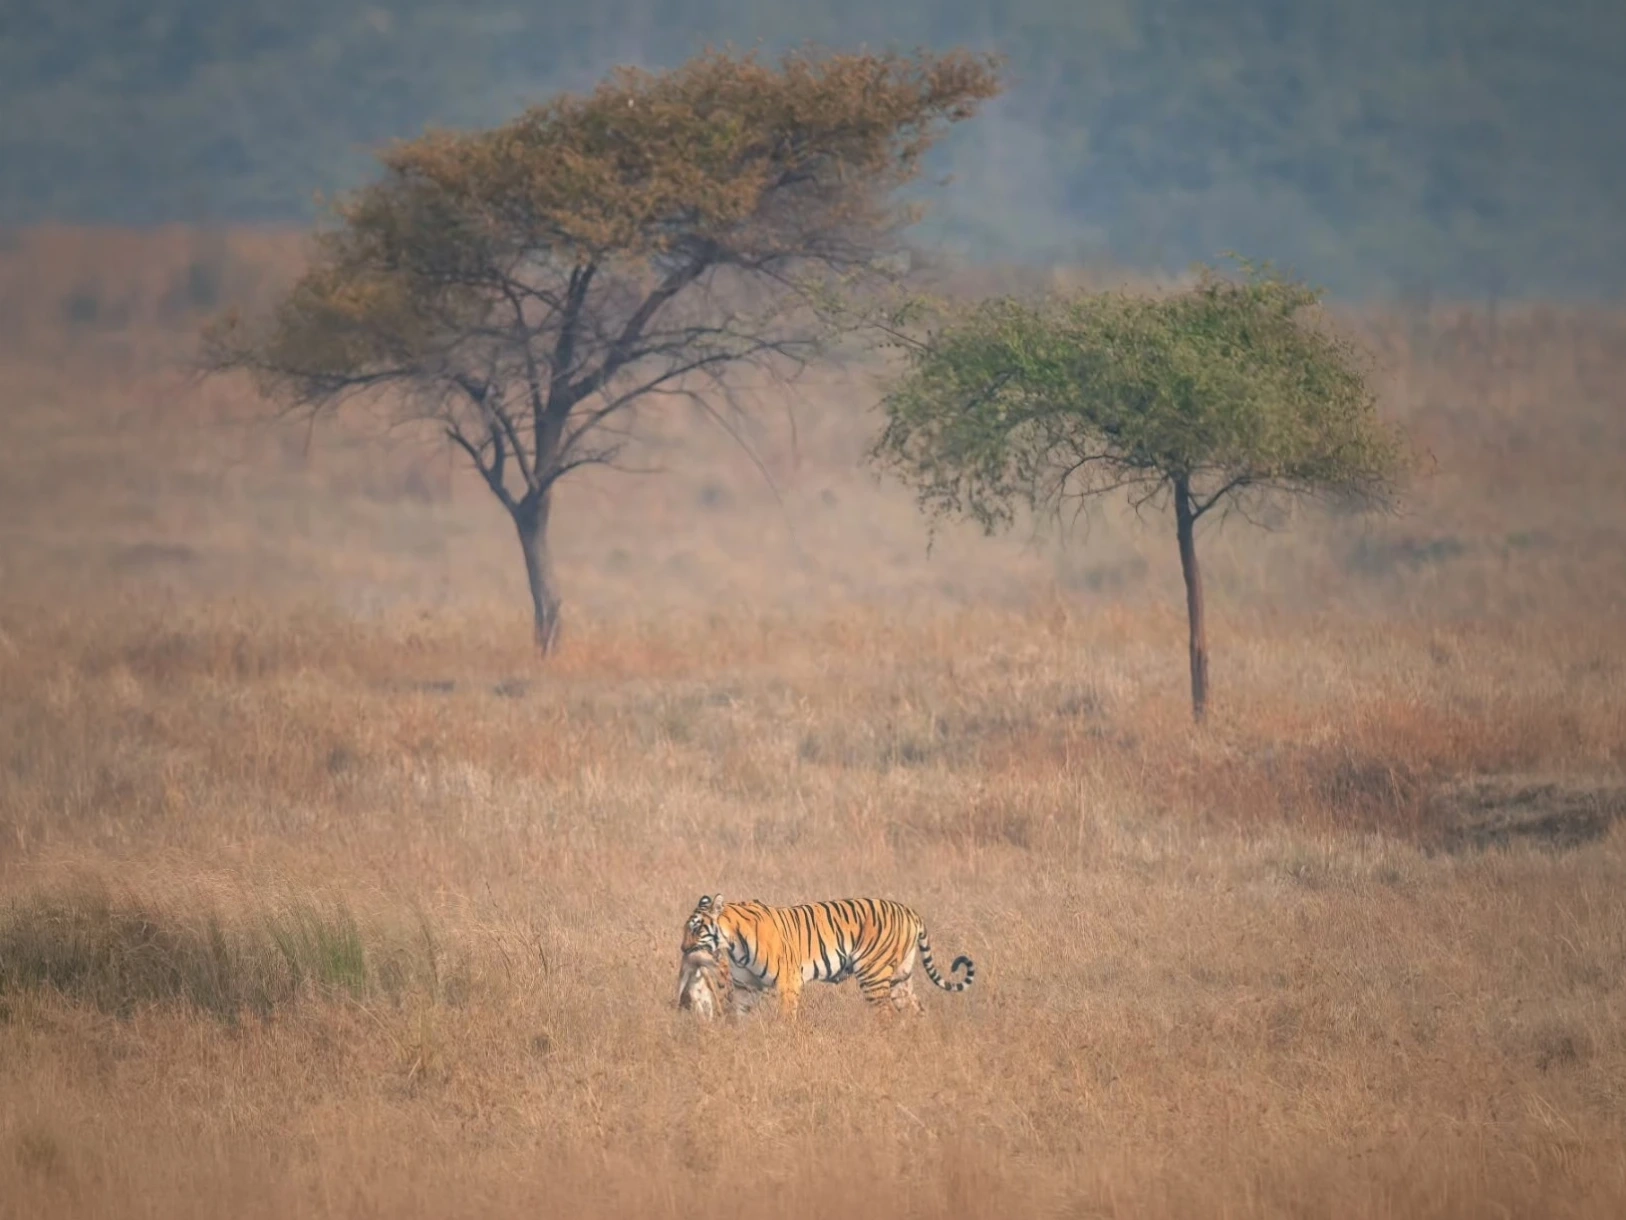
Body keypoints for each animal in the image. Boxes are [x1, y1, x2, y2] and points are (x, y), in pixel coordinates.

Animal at [679, 894, 974, 1018]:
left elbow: (785, 1020)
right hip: (901, 976)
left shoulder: (788, 983)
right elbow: (739, 1018)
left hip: (874, 974)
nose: (682, 949)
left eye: (695, 928)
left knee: (887, 1014)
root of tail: (910, 911)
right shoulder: (744, 988)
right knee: (916, 1011)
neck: (733, 945)